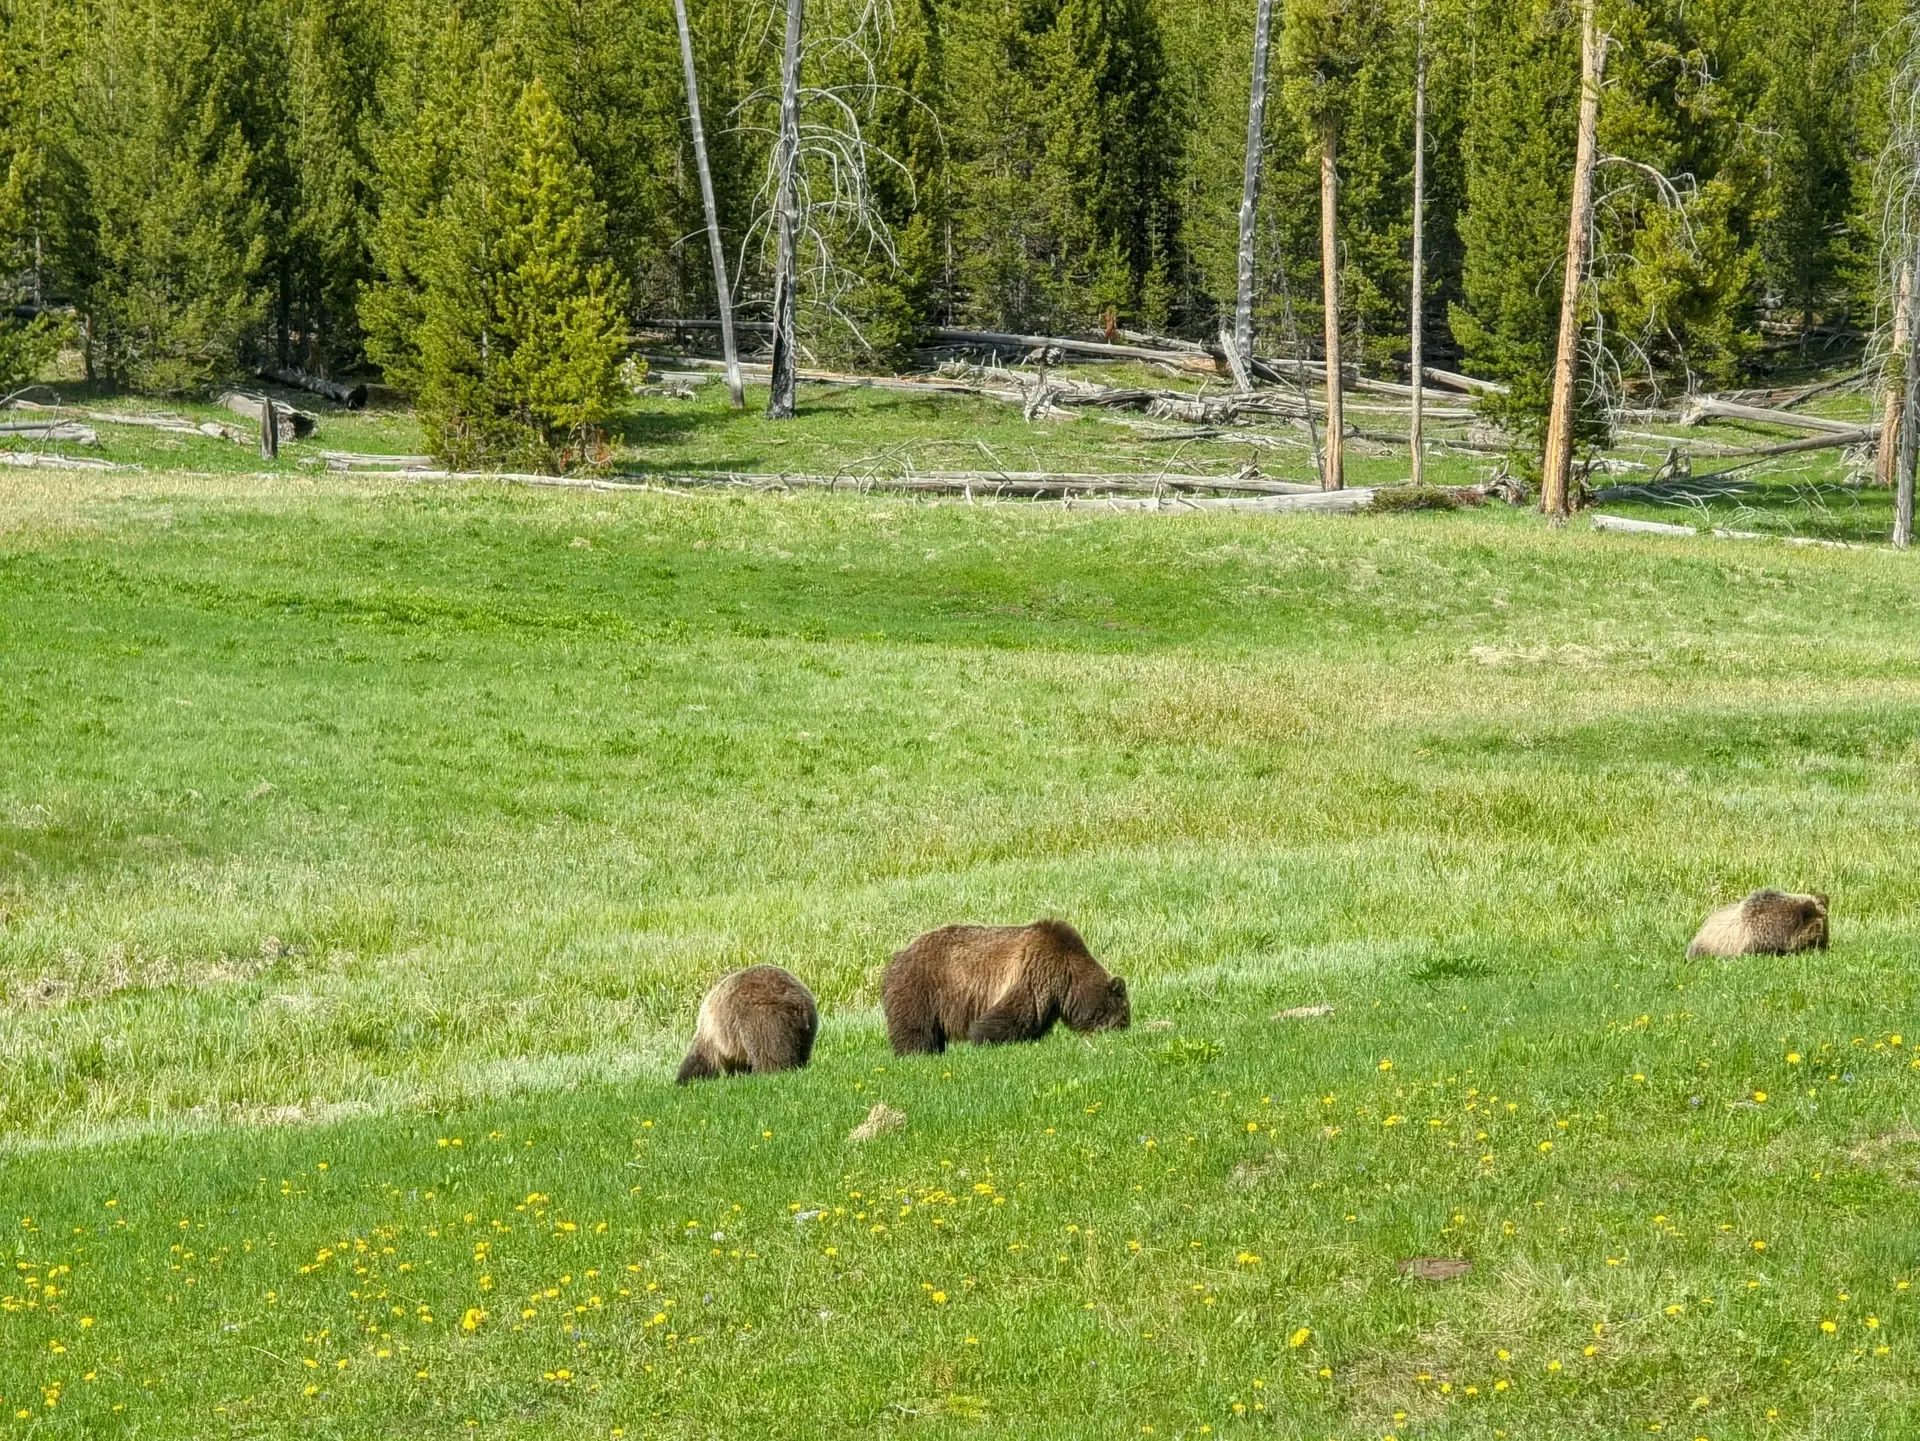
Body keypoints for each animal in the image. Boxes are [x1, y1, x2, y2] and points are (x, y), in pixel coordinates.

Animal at [676, 965, 819, 1083]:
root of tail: (794, 1003)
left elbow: (700, 1057)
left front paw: (686, 1078)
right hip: (806, 1026)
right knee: (803, 1049)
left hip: (762, 1019)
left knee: (769, 1052)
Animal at [881, 919, 1130, 1056]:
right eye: (1125, 1015)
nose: (1124, 1030)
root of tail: (895, 957)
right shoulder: (1034, 973)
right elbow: (1013, 1014)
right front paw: (983, 1038)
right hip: (921, 987)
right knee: (915, 1026)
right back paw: (917, 1054)